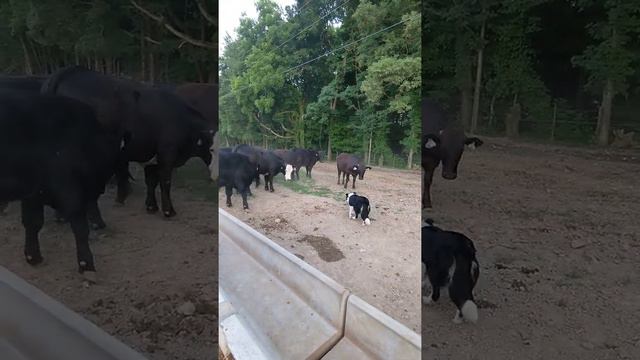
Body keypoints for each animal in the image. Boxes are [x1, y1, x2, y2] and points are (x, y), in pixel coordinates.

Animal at [0, 91, 122, 278]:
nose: (101, 188)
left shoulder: (33, 193)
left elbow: (32, 222)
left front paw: (33, 256)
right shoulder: (69, 190)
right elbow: (80, 228)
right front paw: (87, 265)